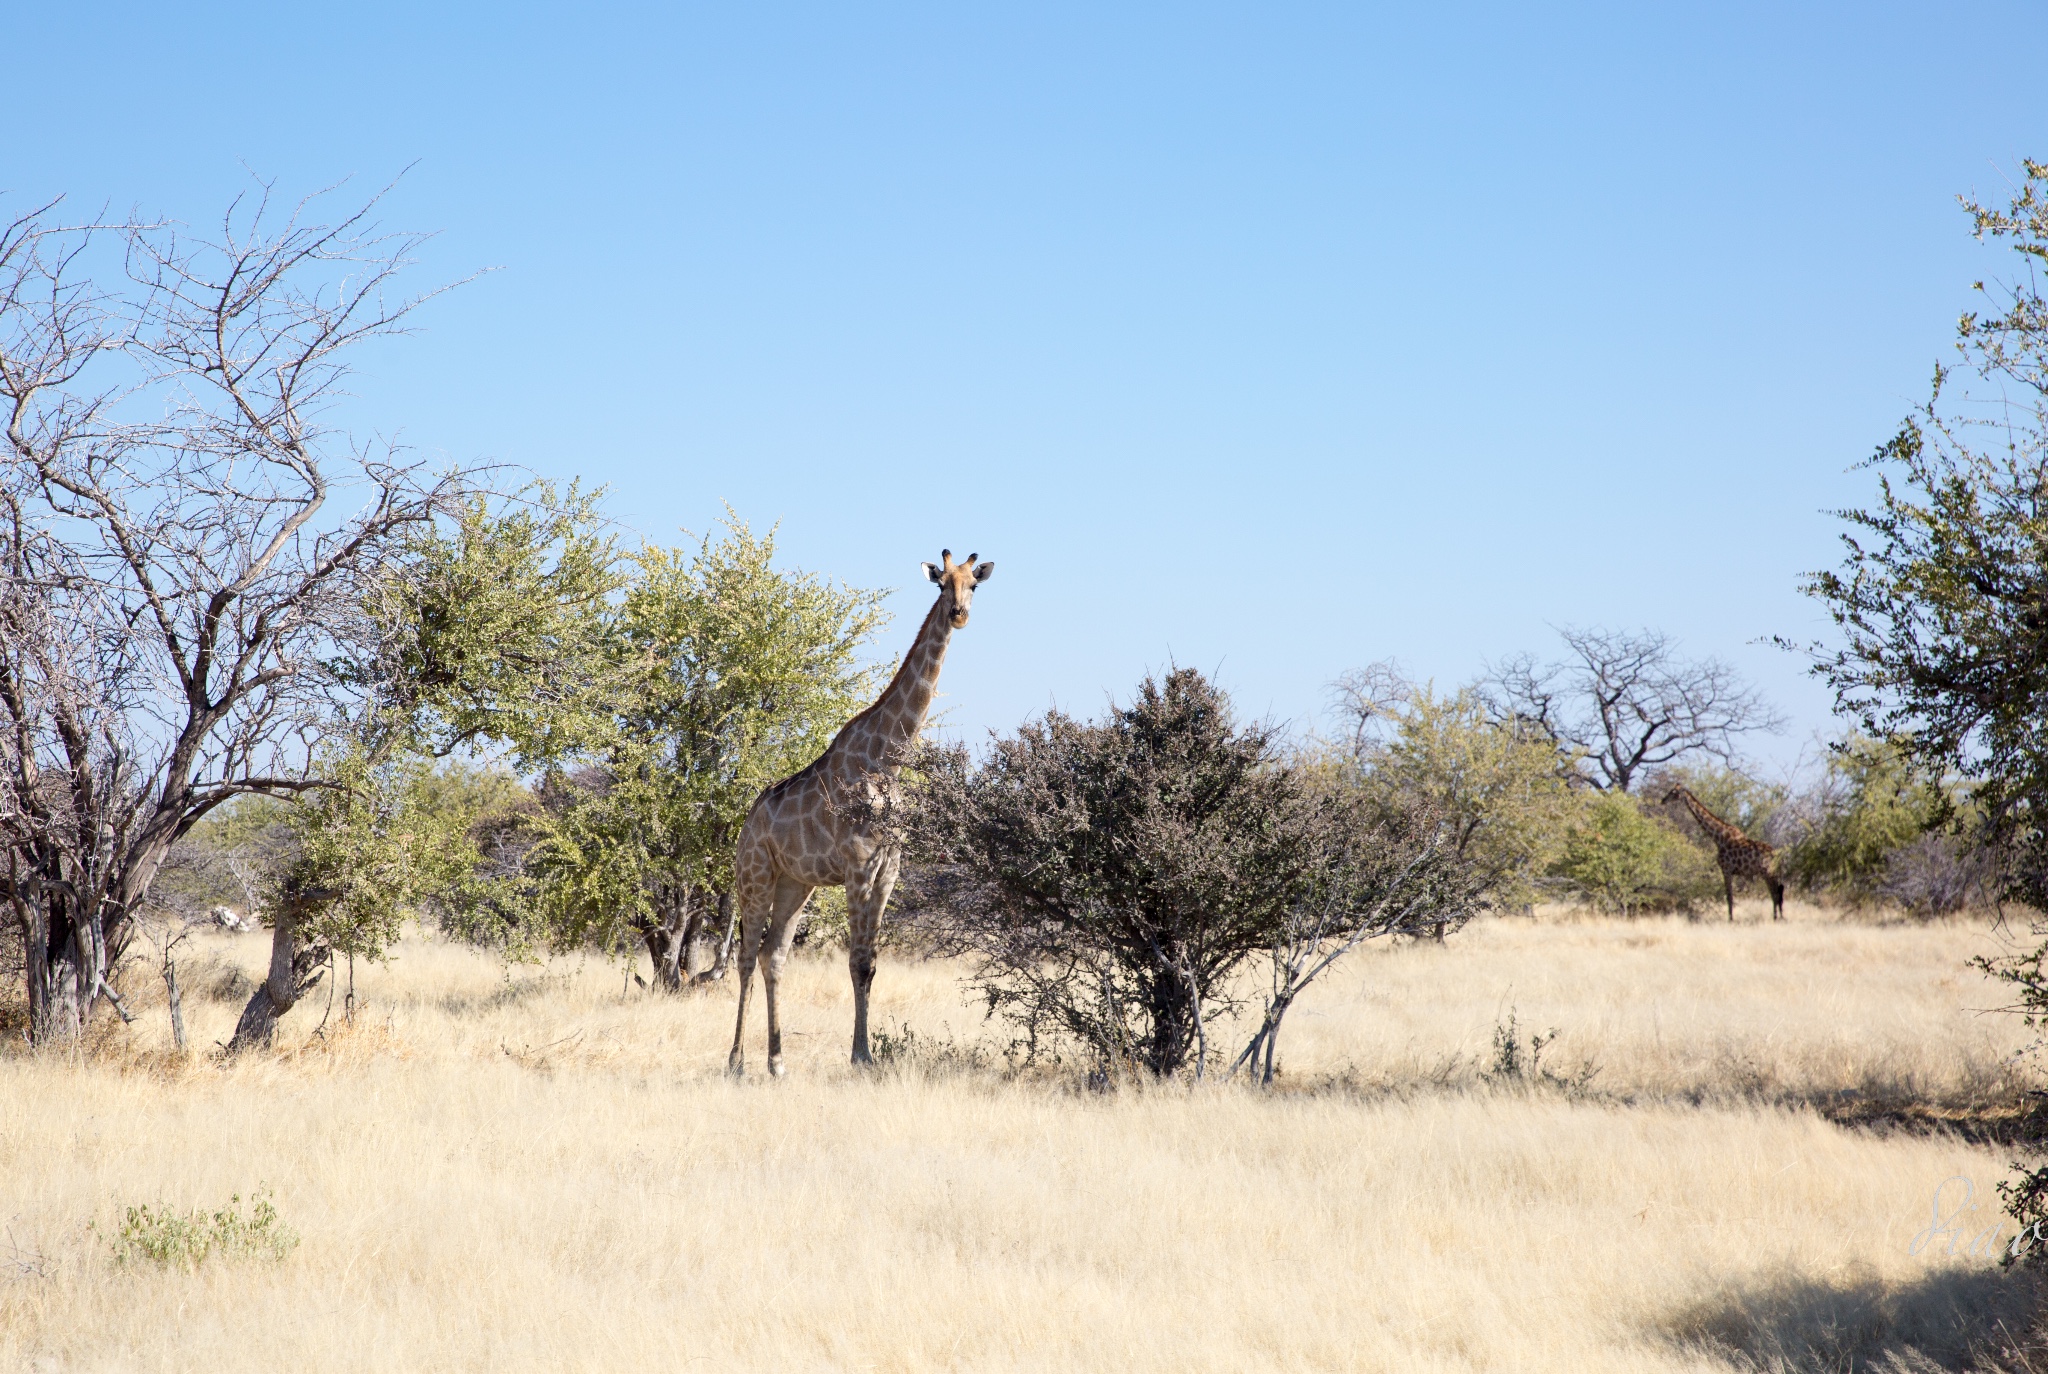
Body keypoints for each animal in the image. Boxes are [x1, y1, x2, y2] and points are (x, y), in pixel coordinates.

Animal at [733, 548, 995, 1072]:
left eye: (973, 584)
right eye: (942, 585)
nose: (959, 614)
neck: (885, 761)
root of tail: (744, 828)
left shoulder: (889, 868)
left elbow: (871, 964)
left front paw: (866, 1055)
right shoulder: (858, 865)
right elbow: (855, 962)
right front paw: (860, 1055)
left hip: (796, 885)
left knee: (775, 954)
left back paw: (777, 1062)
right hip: (755, 877)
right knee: (746, 956)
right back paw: (736, 1062)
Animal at [1671, 786, 1785, 925]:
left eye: (1673, 792)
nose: (1663, 800)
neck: (1718, 838)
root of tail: (1778, 856)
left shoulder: (1726, 869)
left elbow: (1729, 897)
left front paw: (1730, 920)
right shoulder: (1729, 871)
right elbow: (1730, 896)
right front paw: (1730, 919)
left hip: (1768, 873)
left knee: (1775, 894)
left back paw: (1776, 918)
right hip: (1771, 874)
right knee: (1777, 893)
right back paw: (1778, 917)